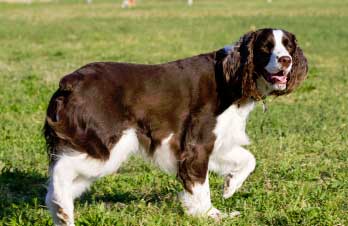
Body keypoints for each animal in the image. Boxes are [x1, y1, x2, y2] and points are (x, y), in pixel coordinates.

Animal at [43, 27, 308, 224]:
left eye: (289, 46)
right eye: (266, 46)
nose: (286, 60)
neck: (230, 77)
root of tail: (70, 81)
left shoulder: (217, 141)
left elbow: (248, 159)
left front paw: (230, 186)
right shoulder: (196, 144)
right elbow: (200, 185)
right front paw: (209, 214)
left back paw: (60, 212)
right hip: (106, 147)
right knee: (61, 171)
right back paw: (63, 211)